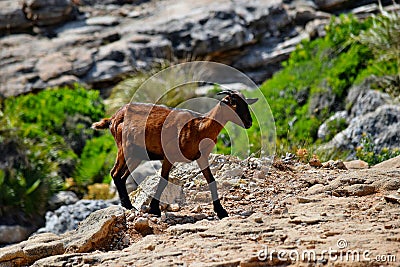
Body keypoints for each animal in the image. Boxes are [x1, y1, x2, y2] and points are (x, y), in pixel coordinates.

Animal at [92, 90, 258, 220]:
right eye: (233, 103)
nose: (249, 122)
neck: (199, 127)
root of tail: (113, 118)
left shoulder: (202, 157)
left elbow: (211, 180)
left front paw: (221, 211)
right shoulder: (169, 156)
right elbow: (163, 180)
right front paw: (154, 209)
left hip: (136, 155)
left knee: (121, 176)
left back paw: (128, 205)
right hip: (124, 149)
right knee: (115, 173)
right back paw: (128, 206)